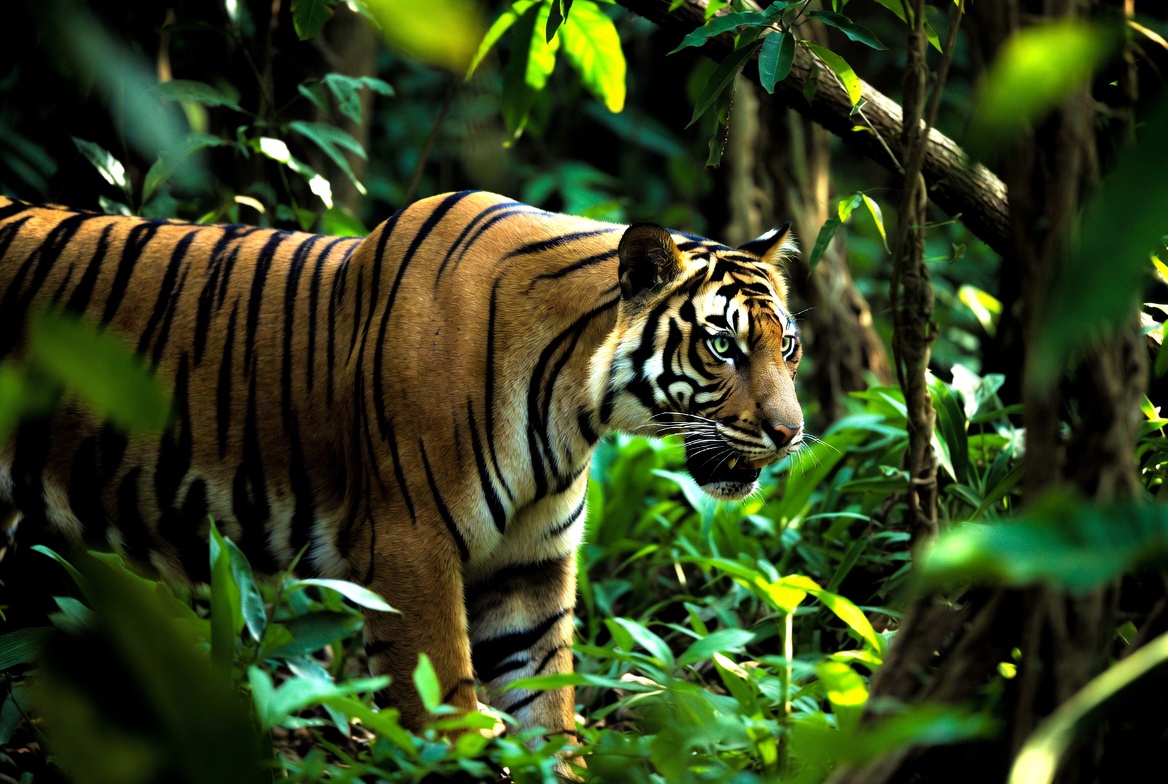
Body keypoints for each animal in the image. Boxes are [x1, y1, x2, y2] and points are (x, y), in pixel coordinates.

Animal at [0, 190, 803, 743]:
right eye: (723, 346)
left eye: (786, 345)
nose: (791, 433)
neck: (574, 407)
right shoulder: (408, 549)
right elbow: (445, 709)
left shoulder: (529, 567)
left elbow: (546, 711)